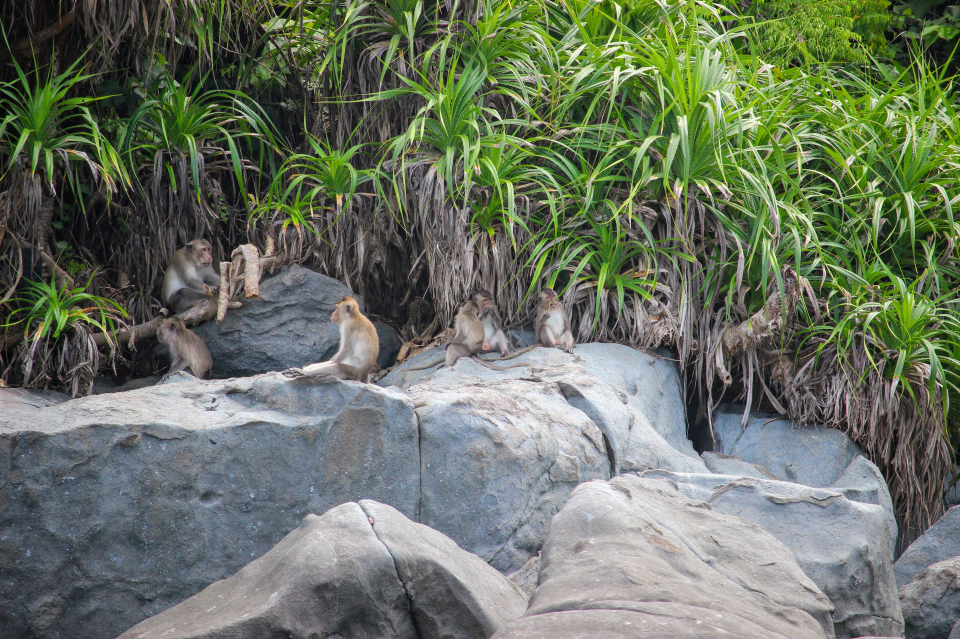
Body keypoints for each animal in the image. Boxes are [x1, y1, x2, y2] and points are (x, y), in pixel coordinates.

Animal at [400, 302, 528, 372]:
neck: (468, 312)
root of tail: (474, 352)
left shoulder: (460, 319)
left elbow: (460, 335)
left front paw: (449, 343)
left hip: (464, 350)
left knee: (453, 348)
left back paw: (447, 365)